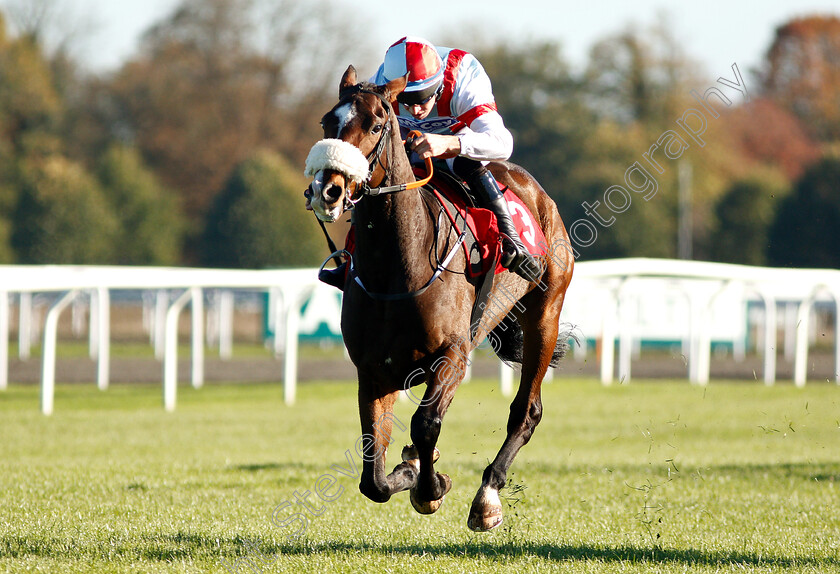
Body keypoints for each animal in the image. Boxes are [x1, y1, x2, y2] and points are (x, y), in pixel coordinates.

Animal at [306, 65, 576, 532]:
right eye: (327, 122)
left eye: (375, 123)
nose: (328, 190)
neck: (398, 268)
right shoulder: (373, 369)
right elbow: (373, 474)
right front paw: (409, 471)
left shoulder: (452, 353)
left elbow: (426, 422)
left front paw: (431, 488)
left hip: (545, 312)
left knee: (526, 411)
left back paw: (488, 495)